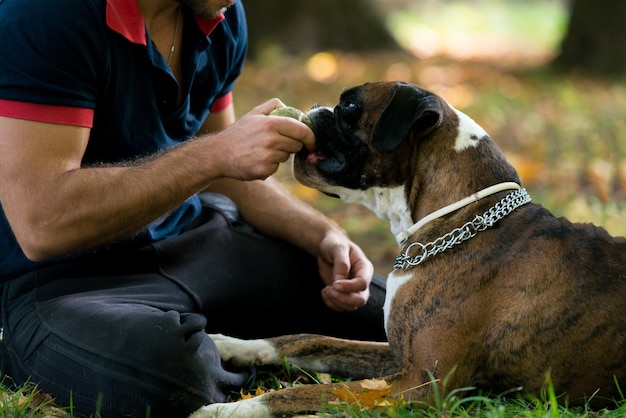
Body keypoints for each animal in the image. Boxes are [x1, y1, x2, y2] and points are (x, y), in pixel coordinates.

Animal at [190, 81, 624, 418]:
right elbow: (310, 339)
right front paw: (232, 345)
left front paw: (229, 408)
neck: (461, 218)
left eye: (349, 106)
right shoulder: (400, 356)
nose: (317, 107)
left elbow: (310, 391)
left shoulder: (420, 384)